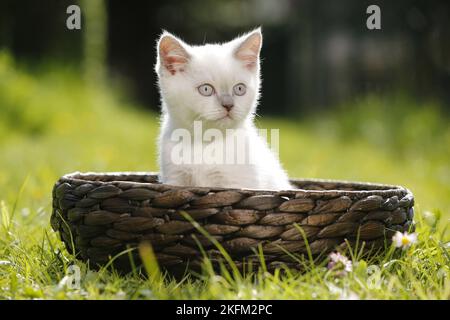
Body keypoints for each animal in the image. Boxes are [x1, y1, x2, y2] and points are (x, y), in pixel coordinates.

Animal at [156, 28, 292, 190]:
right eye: (206, 89)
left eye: (239, 89)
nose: (228, 104)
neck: (205, 143)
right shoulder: (174, 178)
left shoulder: (241, 183)